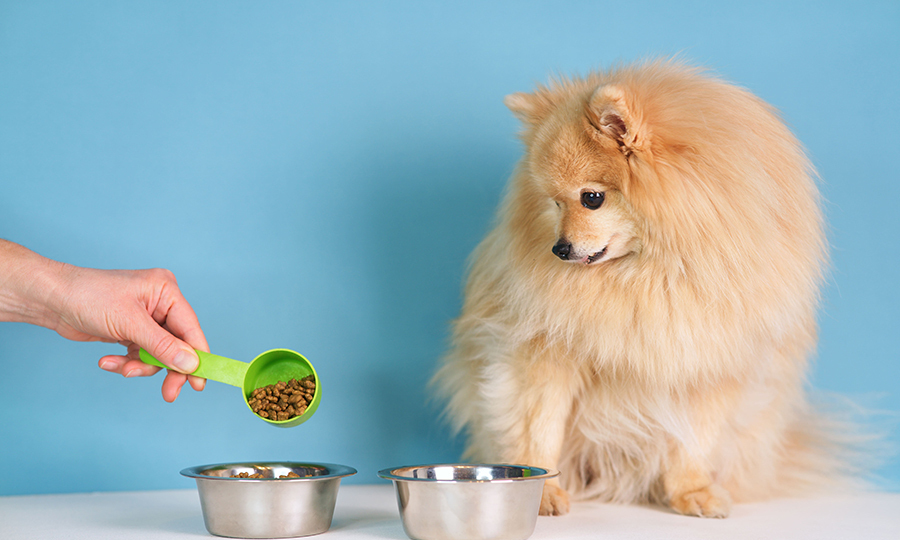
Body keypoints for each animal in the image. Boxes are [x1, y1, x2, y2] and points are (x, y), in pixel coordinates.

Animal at [434, 60, 856, 520]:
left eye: (591, 198)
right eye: (555, 203)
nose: (559, 249)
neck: (654, 272)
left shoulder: (708, 362)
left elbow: (695, 440)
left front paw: (692, 491)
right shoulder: (543, 351)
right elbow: (538, 429)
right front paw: (542, 492)